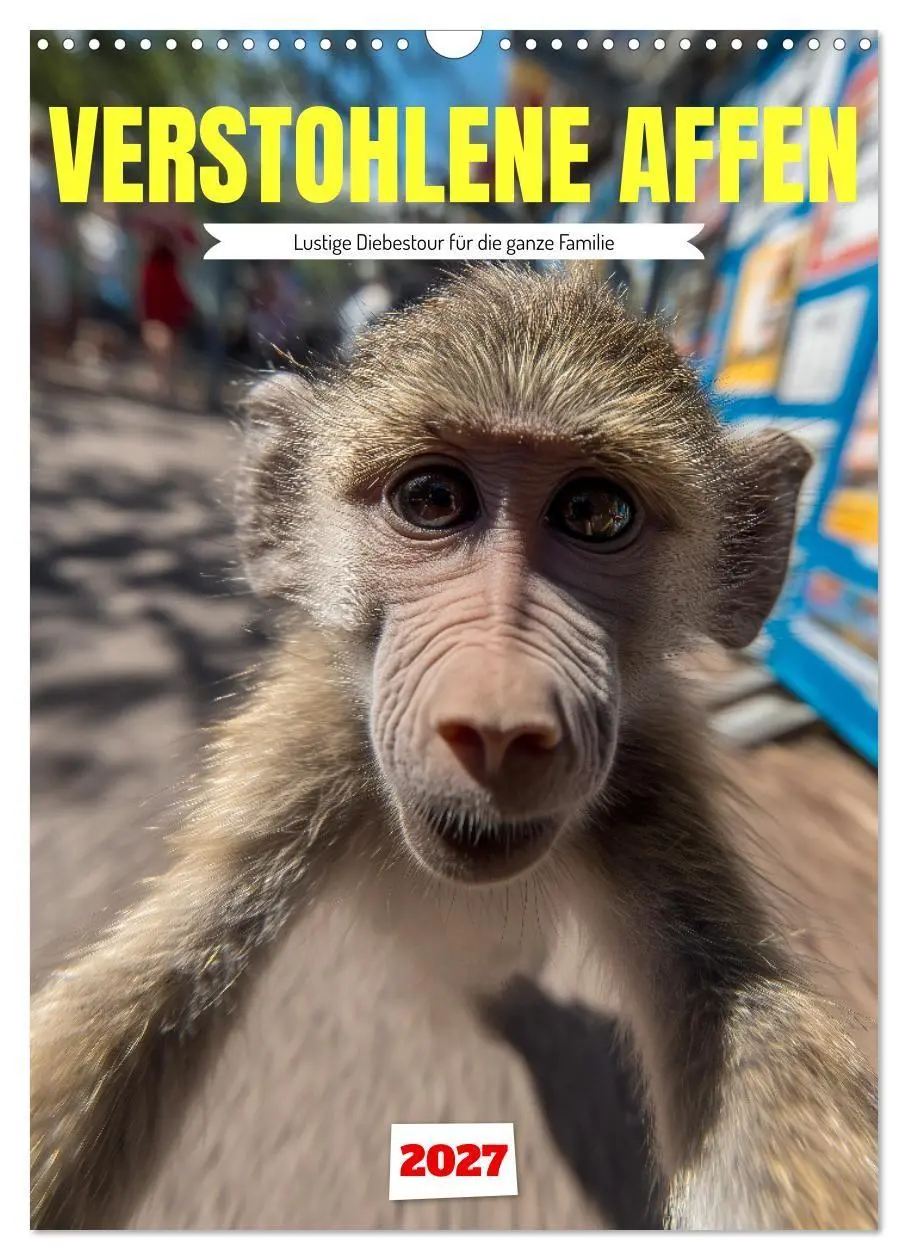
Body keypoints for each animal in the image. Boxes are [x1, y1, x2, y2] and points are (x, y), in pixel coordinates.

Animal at [30, 263, 877, 1231]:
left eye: (597, 513)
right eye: (432, 500)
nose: (502, 720)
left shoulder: (649, 782)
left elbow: (735, 1001)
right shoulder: (309, 747)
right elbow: (174, 961)